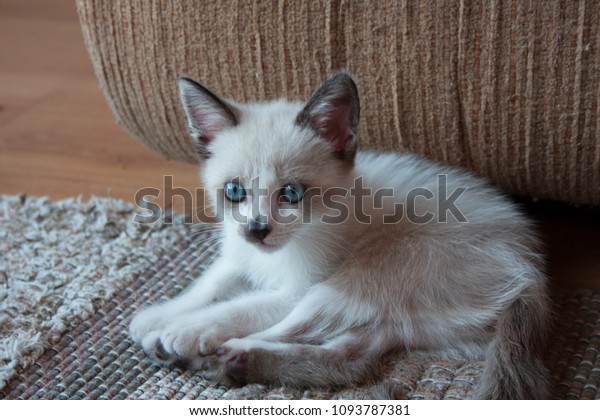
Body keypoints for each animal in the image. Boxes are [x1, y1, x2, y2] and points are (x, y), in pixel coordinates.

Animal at [129, 70, 552, 398]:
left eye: (291, 193)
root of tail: (530, 274)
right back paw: (231, 363)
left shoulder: (296, 288)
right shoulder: (238, 255)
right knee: (350, 358)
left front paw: (181, 331)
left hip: (358, 280)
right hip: (406, 319)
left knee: (299, 330)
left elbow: (237, 307)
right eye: (234, 191)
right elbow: (208, 285)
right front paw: (156, 318)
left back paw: (214, 354)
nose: (257, 229)